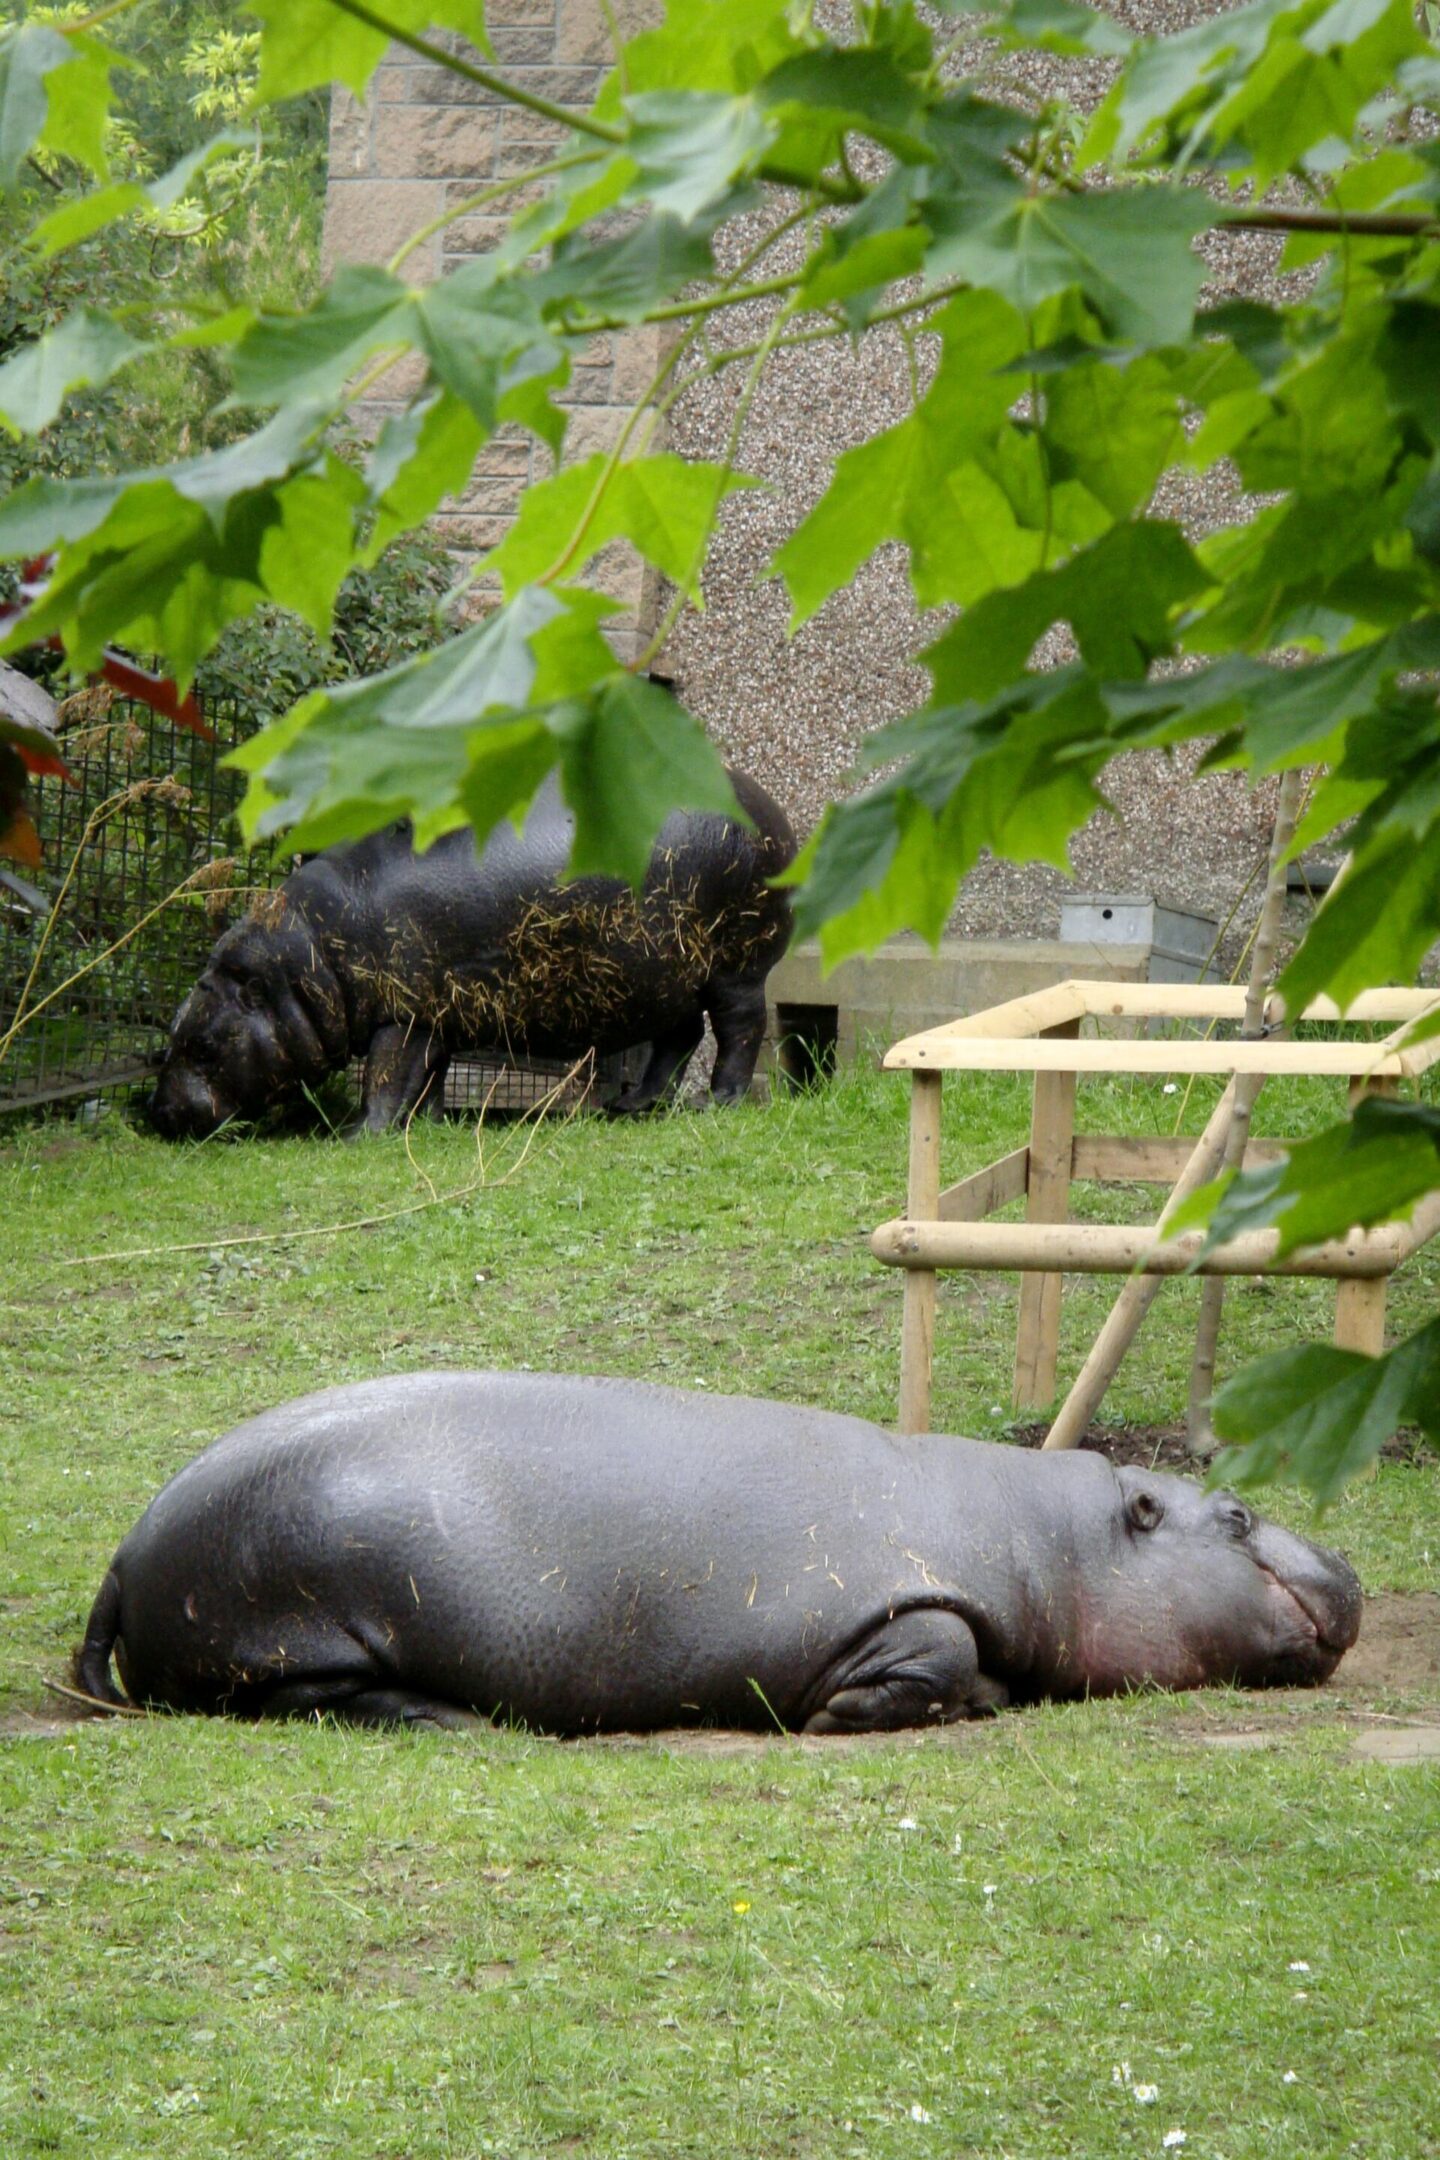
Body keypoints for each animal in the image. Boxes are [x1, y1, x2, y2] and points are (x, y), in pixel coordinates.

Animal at [74, 1373, 1362, 1732]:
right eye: (1234, 1514)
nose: (1349, 1574)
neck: (1057, 1539)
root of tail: (126, 1551)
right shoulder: (904, 1603)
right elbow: (939, 1652)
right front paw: (845, 1714)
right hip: (301, 1626)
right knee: (321, 1699)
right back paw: (456, 1722)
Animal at [149, 771, 794, 1137]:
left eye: (205, 1047)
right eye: (171, 1034)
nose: (161, 1113)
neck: (306, 963)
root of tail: (775, 814)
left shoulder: (402, 1015)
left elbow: (385, 1076)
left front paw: (356, 1134)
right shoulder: (436, 1013)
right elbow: (428, 1075)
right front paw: (430, 1125)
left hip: (735, 969)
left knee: (740, 1030)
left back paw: (719, 1102)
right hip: (667, 978)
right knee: (679, 1038)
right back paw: (632, 1104)